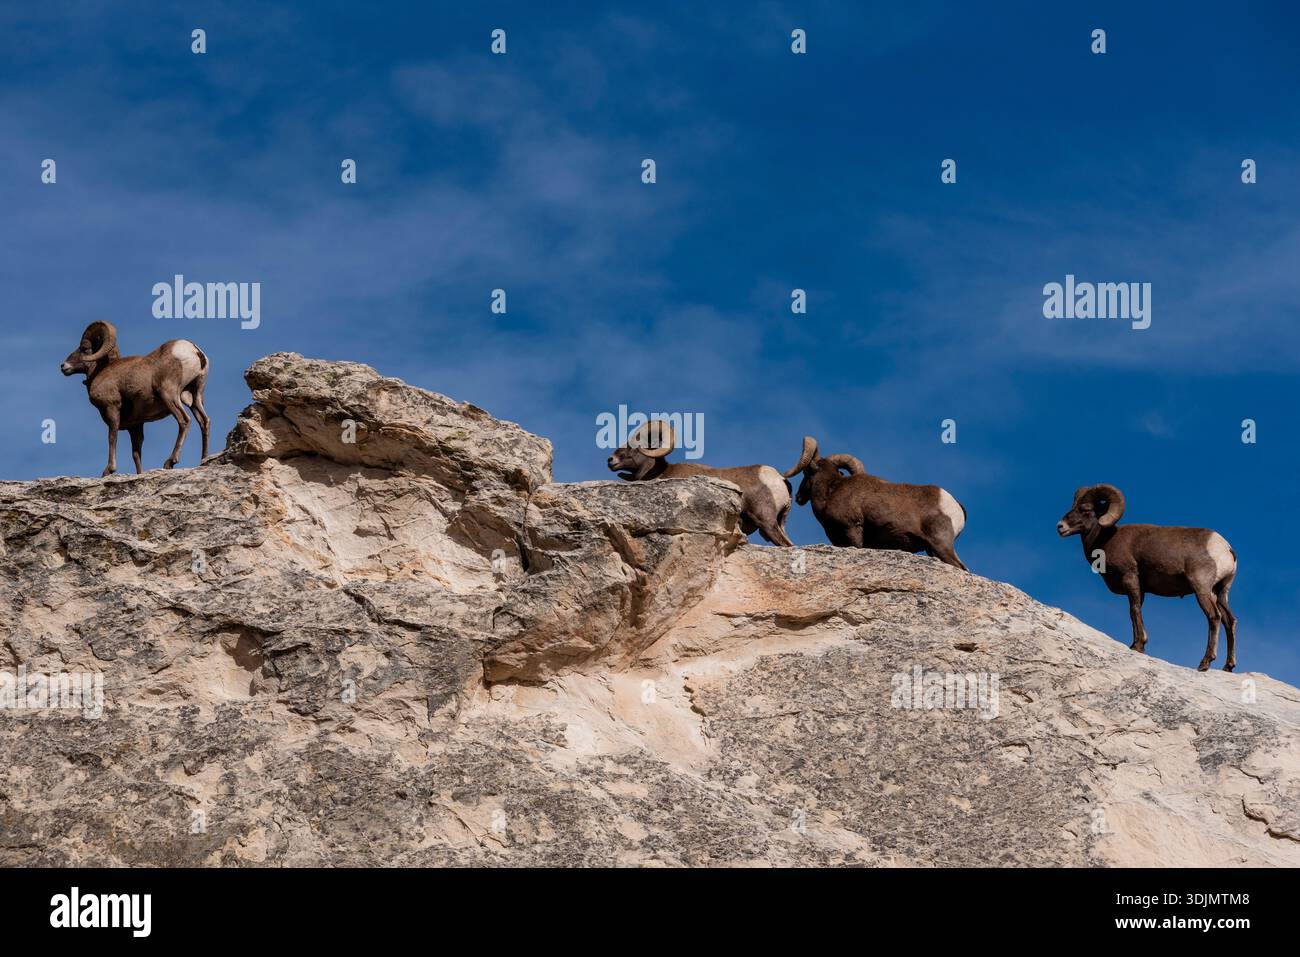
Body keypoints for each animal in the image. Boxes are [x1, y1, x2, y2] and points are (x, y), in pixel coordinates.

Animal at [60, 321, 211, 477]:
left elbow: (112, 437)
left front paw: (109, 470)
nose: (63, 366)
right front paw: (140, 474)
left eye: (85, 348)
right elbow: (136, 454)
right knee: (204, 421)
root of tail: (194, 351)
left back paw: (170, 462)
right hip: (195, 397)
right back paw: (204, 459)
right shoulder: (135, 426)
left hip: (169, 395)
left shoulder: (112, 409)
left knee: (184, 421)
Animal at [783, 436, 968, 569]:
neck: (831, 491)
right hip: (932, 550)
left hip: (941, 545)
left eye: (806, 473)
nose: (798, 497)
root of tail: (955, 505)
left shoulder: (852, 529)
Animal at [1056, 484, 1238, 672]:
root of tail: (1225, 548)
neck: (1104, 540)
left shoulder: (1130, 578)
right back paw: (1228, 666)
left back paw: (1204, 663)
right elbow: (1136, 610)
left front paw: (1137, 646)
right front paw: (1138, 644)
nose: (1060, 526)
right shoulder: (1141, 589)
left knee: (1214, 617)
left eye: (1085, 509)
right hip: (1220, 593)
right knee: (1230, 621)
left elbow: (1134, 610)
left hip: (1201, 589)